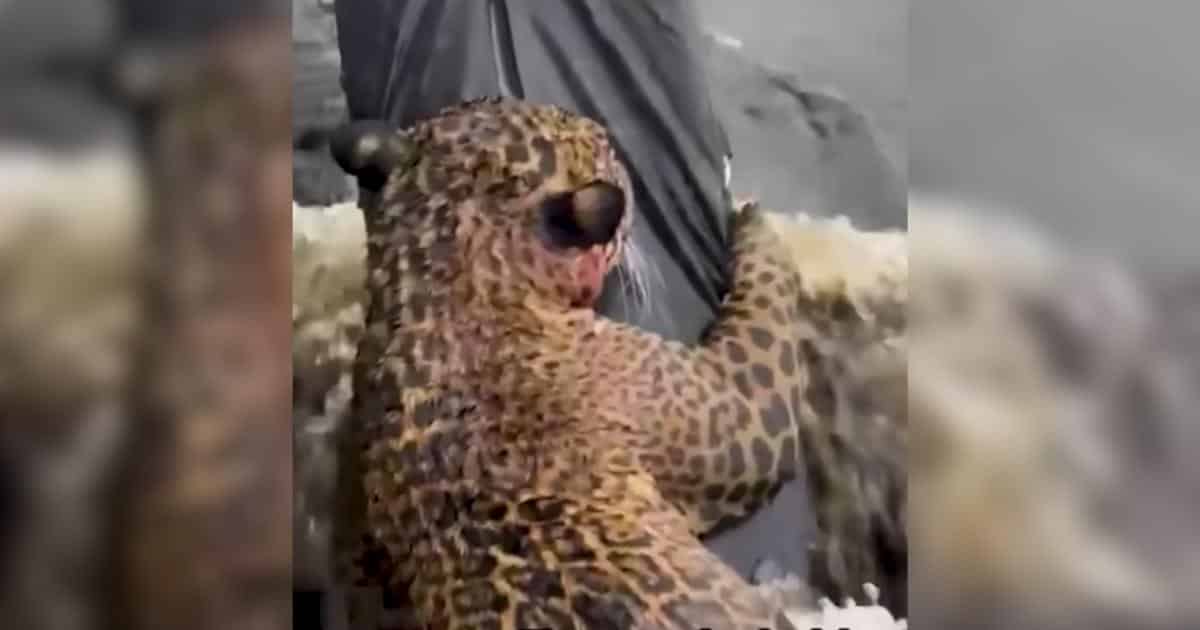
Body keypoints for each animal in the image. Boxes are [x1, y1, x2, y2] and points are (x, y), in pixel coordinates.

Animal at [325, 96, 897, 630]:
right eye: (605, 151)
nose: (617, 145)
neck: (439, 277)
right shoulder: (739, 409)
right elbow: (767, 313)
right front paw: (753, 216)